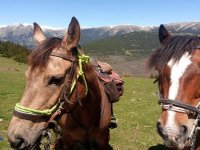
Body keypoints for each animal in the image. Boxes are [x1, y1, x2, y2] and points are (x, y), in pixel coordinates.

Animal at [7, 17, 113, 149]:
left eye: (56, 79)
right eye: (27, 76)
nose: (15, 138)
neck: (88, 117)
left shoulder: (103, 140)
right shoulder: (68, 139)